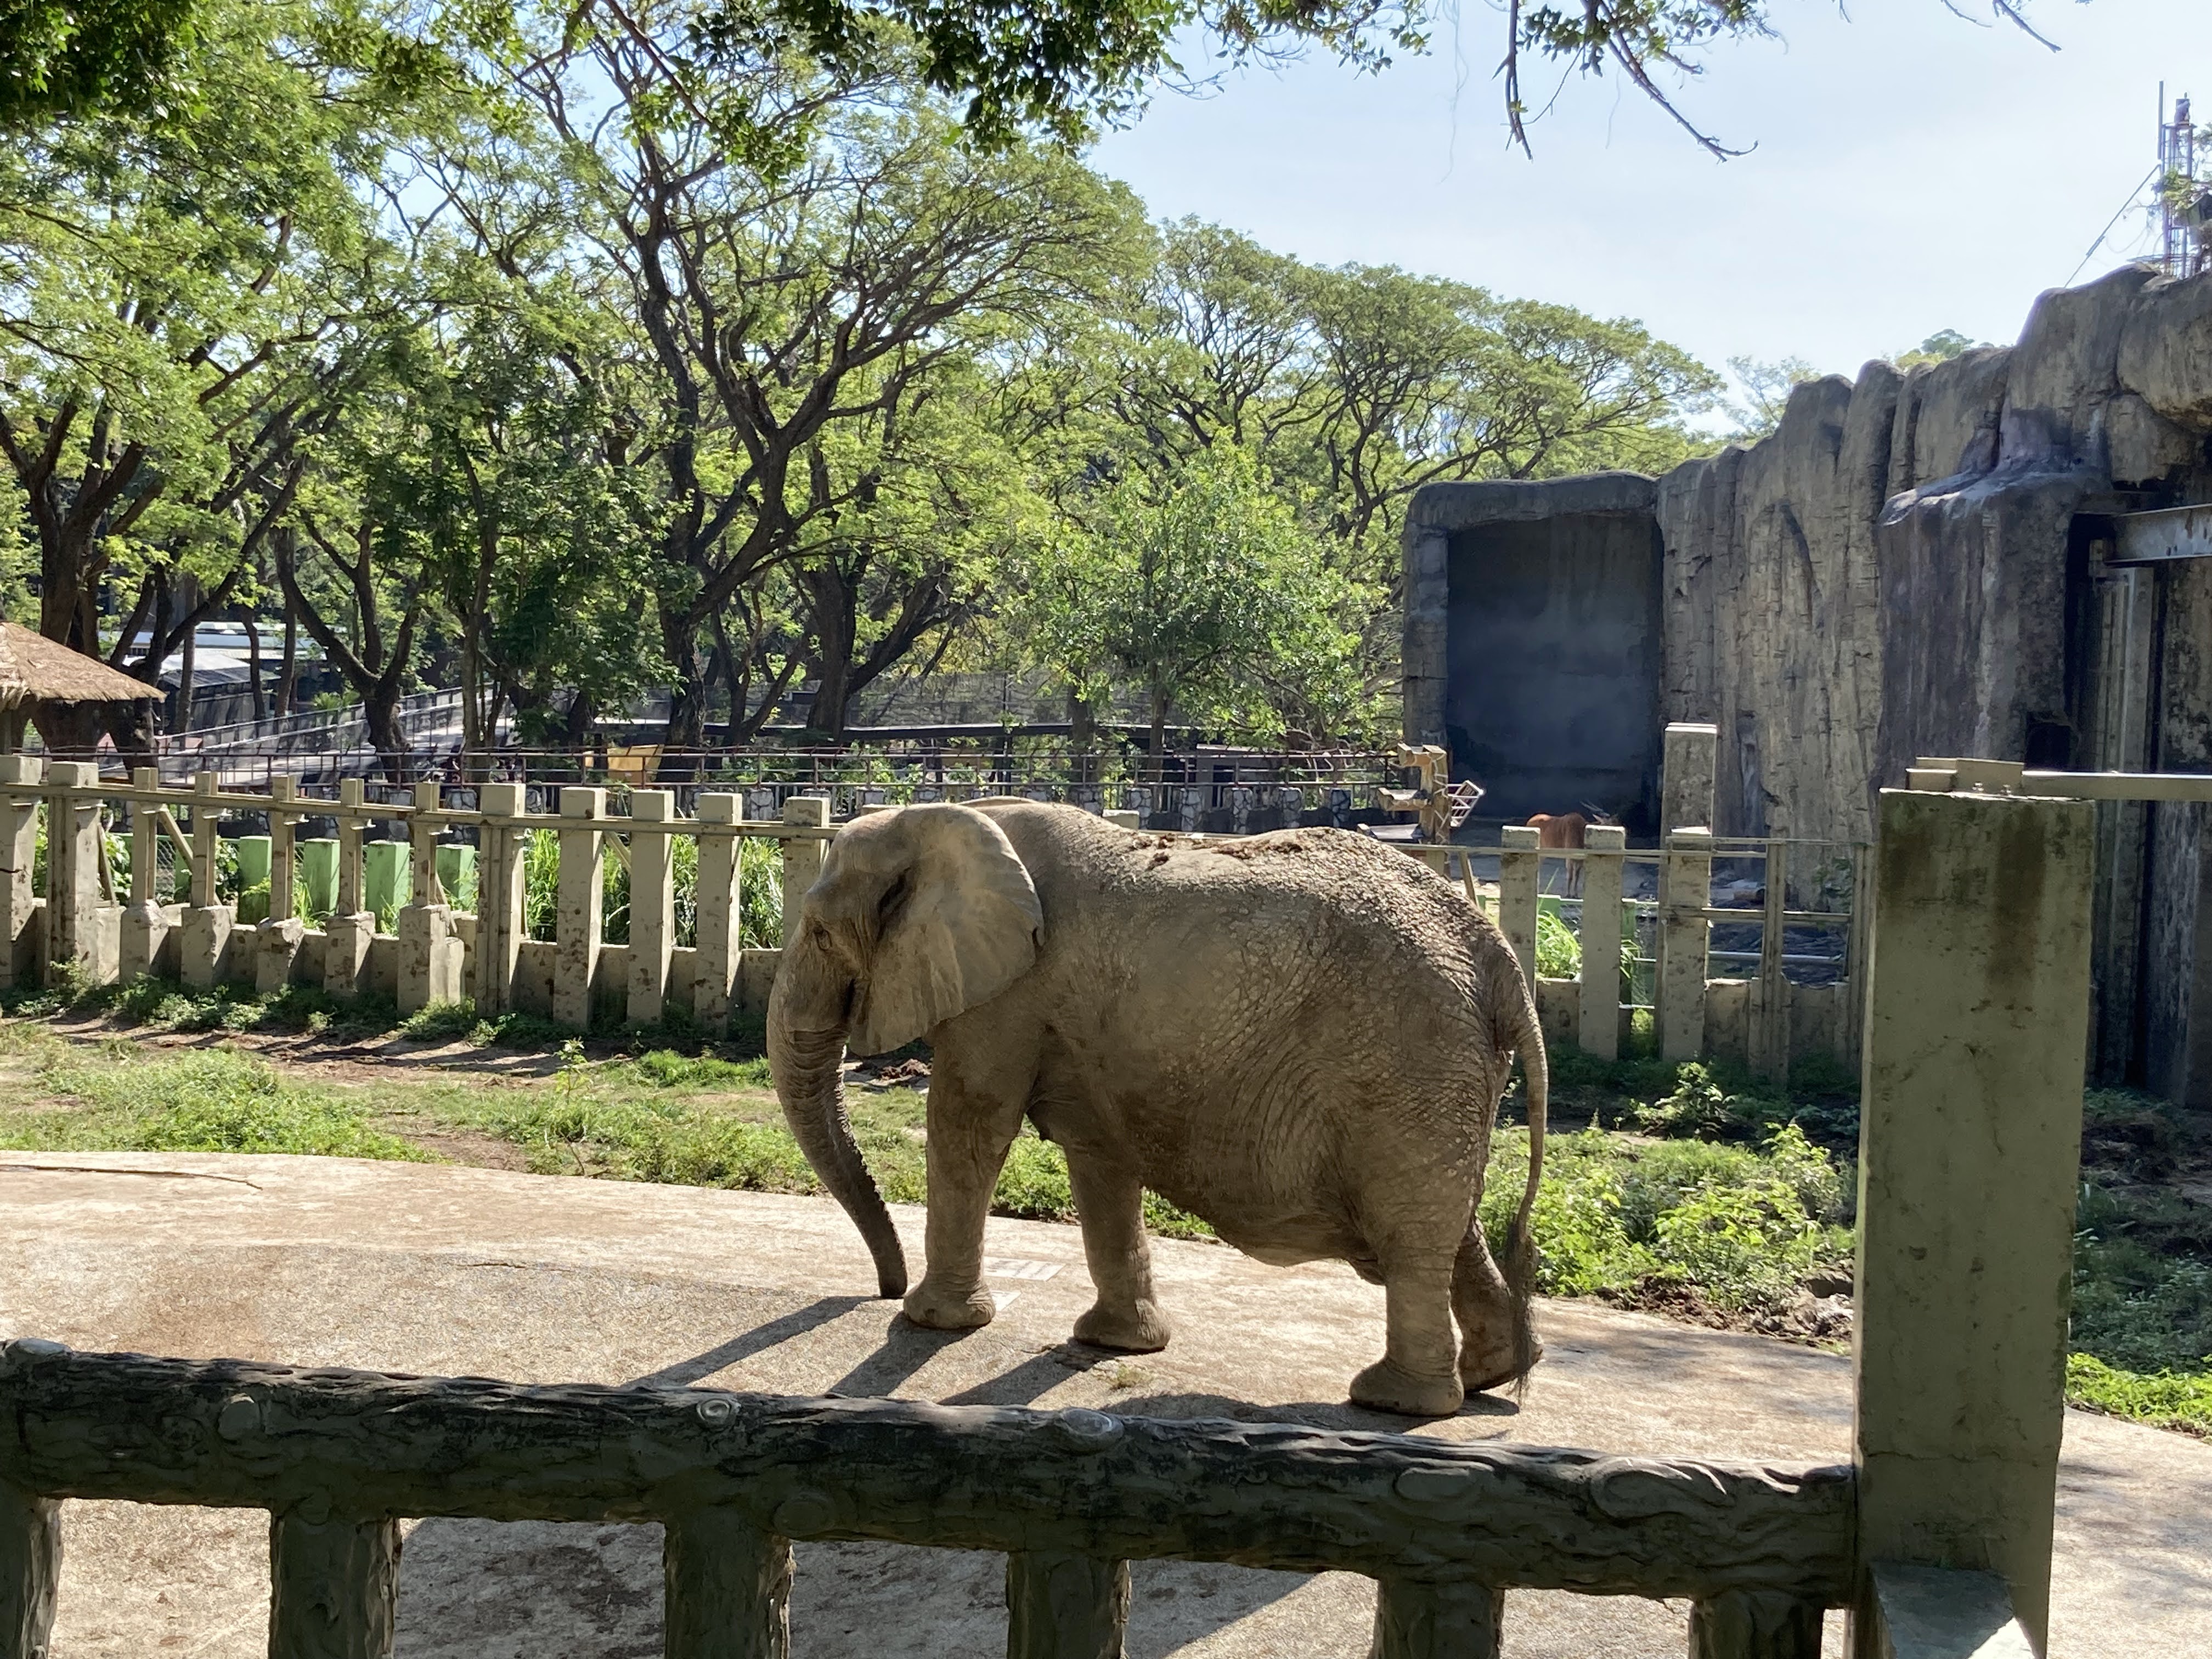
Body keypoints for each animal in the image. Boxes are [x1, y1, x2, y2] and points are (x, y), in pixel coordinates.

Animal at [766, 799, 1549, 1417]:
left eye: (820, 932)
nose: (879, 1290)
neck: (938, 816)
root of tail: (1497, 955)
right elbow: (1098, 1158)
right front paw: (1114, 1343)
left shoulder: (1006, 994)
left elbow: (970, 1125)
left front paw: (932, 1323)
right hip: (1444, 1068)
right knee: (1449, 1220)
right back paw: (1490, 1375)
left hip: (1408, 1056)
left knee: (1409, 1228)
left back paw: (1392, 1401)